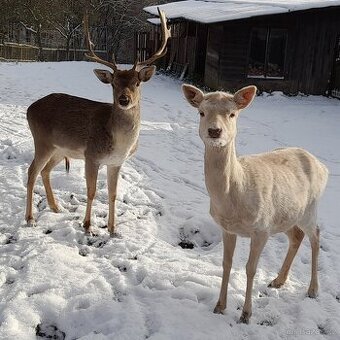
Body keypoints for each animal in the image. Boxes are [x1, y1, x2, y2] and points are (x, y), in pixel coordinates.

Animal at [24, 8, 170, 236]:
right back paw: (30, 218)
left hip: (60, 149)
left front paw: (113, 229)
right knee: (32, 172)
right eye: (113, 83)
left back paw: (56, 207)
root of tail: (30, 108)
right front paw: (87, 226)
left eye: (137, 83)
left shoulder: (116, 162)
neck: (119, 143)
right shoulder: (91, 156)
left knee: (46, 170)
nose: (124, 100)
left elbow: (112, 194)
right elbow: (91, 191)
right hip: (42, 141)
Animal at [182, 84, 328, 324]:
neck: (234, 198)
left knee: (315, 235)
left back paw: (313, 290)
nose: (215, 131)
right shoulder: (228, 228)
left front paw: (246, 314)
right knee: (297, 236)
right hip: (285, 215)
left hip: (310, 207)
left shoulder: (261, 228)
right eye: (201, 112)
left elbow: (251, 268)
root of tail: (323, 167)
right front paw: (219, 306)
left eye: (232, 114)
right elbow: (226, 263)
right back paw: (278, 280)